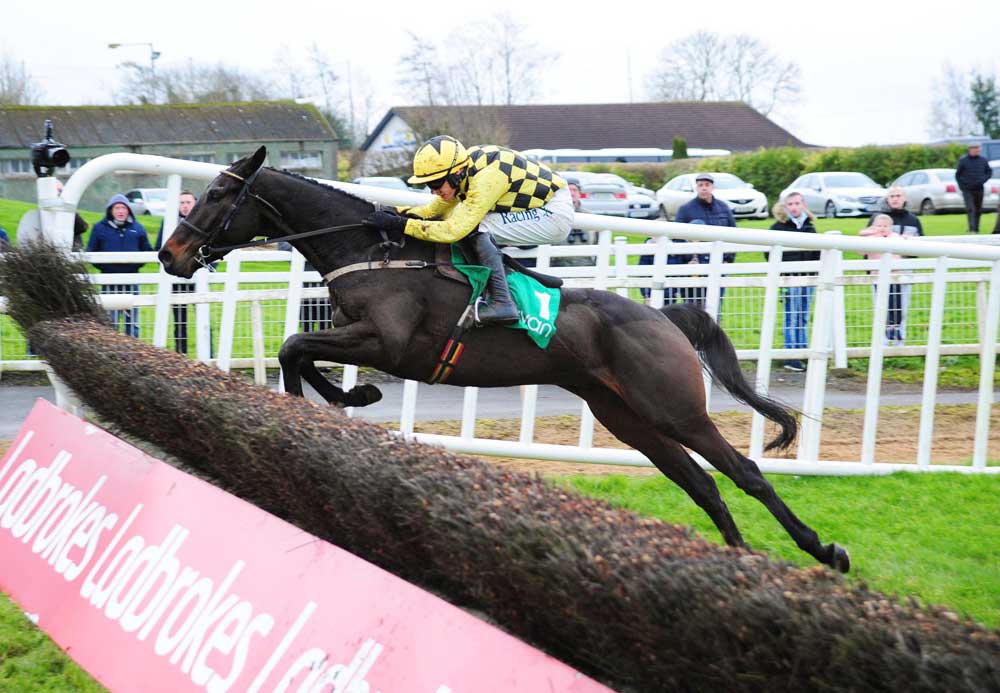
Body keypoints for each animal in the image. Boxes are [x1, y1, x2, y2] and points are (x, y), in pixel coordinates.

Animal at [160, 147, 848, 572]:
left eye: (217, 193)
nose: (169, 254)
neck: (376, 250)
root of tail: (662, 317)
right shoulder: (362, 335)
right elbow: (296, 352)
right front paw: (339, 401)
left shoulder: (388, 341)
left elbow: (295, 348)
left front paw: (348, 398)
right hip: (627, 417)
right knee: (703, 484)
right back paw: (741, 562)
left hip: (673, 407)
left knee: (745, 472)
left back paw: (822, 551)